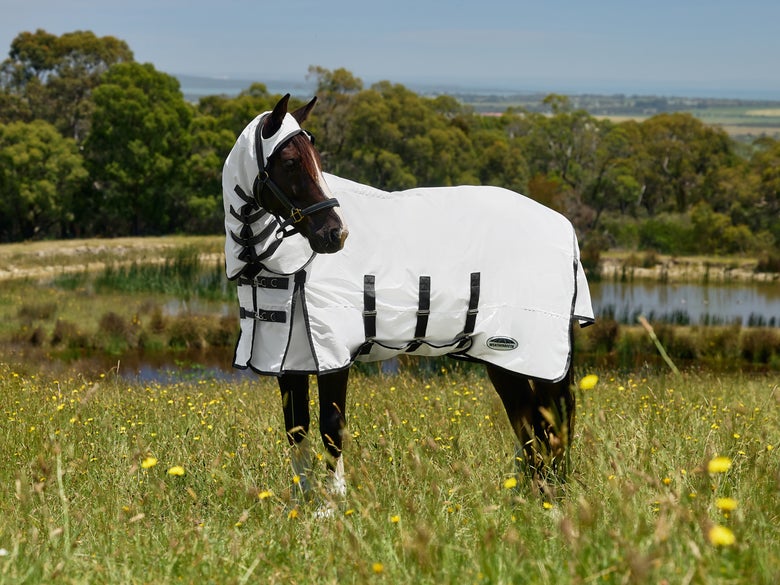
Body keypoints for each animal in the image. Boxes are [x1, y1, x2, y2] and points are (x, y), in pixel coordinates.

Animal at [222, 94, 594, 503]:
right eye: (290, 162)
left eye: (317, 161)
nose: (336, 235)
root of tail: (564, 227)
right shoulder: (290, 361)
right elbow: (296, 429)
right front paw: (303, 503)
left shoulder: (333, 354)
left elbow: (331, 427)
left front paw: (333, 505)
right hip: (502, 359)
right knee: (530, 423)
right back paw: (535, 494)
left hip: (529, 357)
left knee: (547, 425)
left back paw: (548, 497)